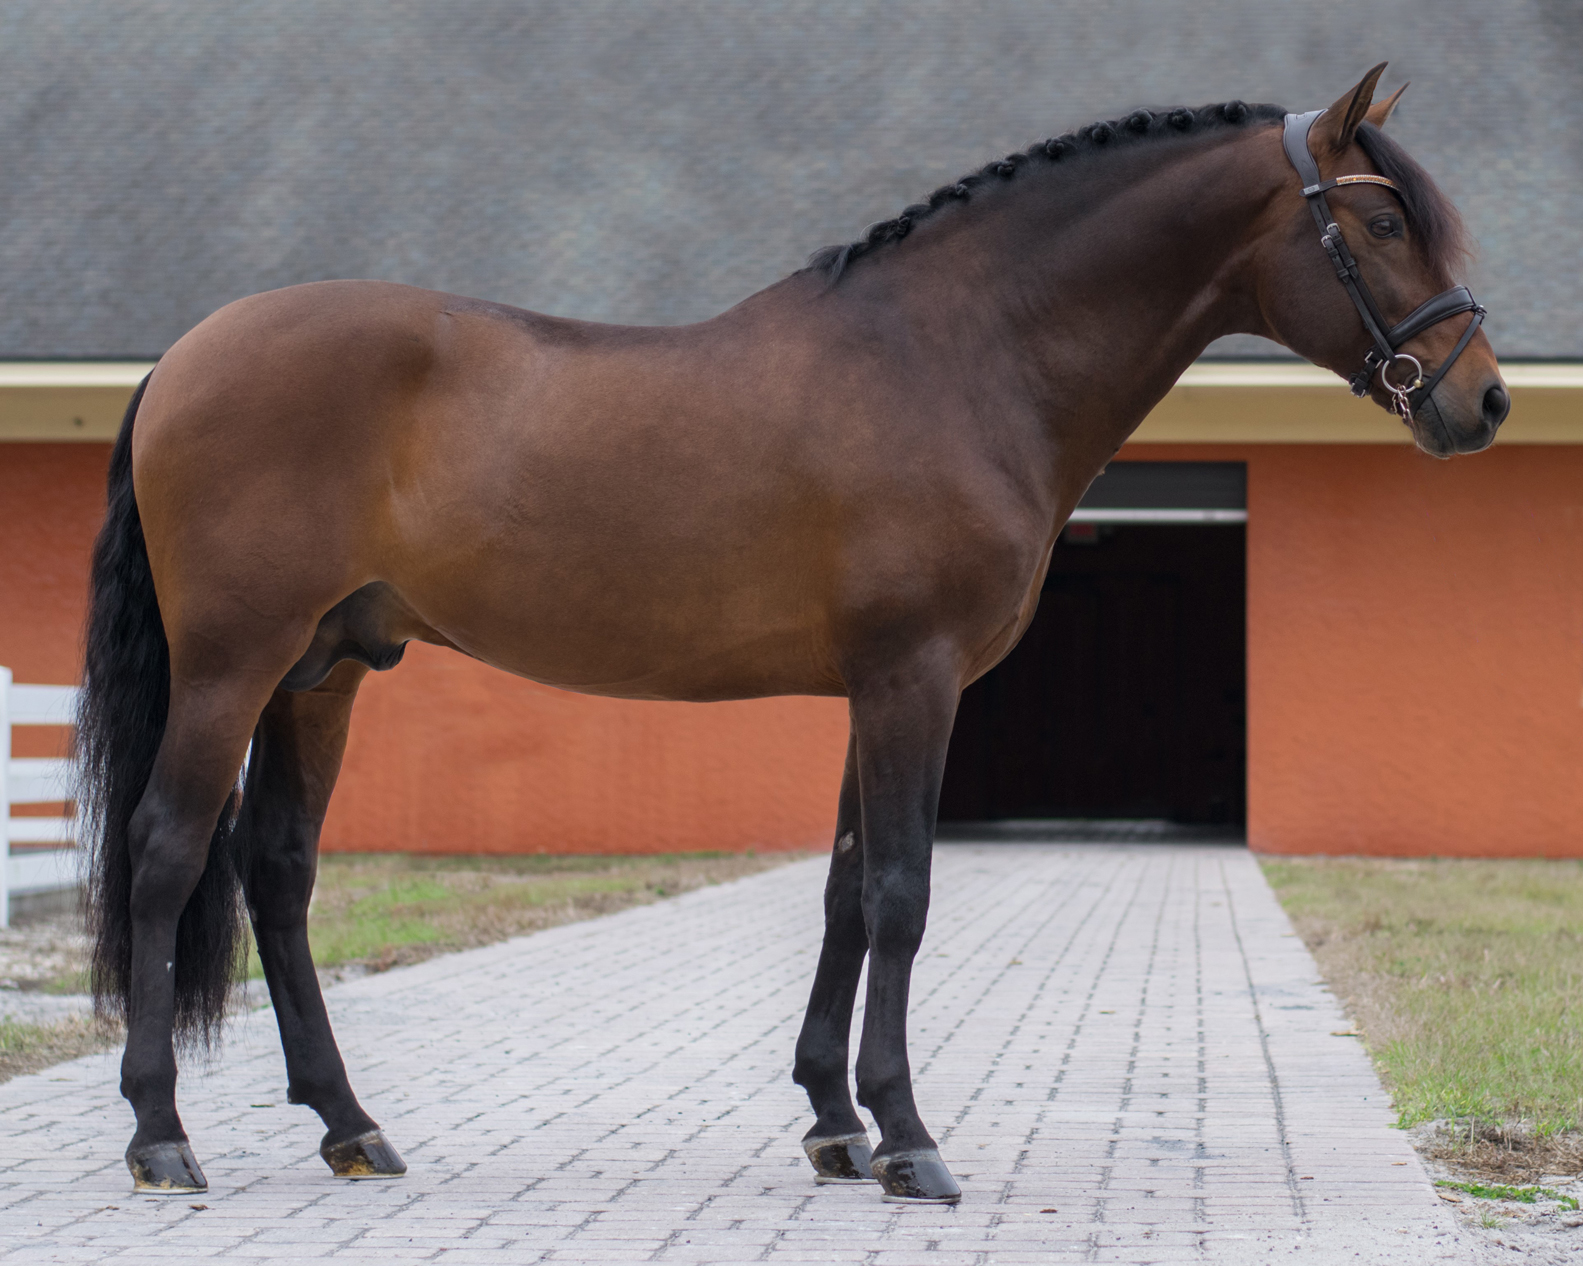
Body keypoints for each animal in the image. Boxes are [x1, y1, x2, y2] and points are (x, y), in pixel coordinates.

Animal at [77, 64, 1506, 1204]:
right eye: (1382, 219)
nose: (1481, 403)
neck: (956, 357)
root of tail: (187, 355)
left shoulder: (875, 688)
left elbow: (840, 889)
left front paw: (834, 1125)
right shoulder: (914, 681)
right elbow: (900, 893)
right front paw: (911, 1138)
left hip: (321, 672)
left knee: (277, 873)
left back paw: (351, 1127)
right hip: (233, 665)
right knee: (165, 853)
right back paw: (159, 1136)